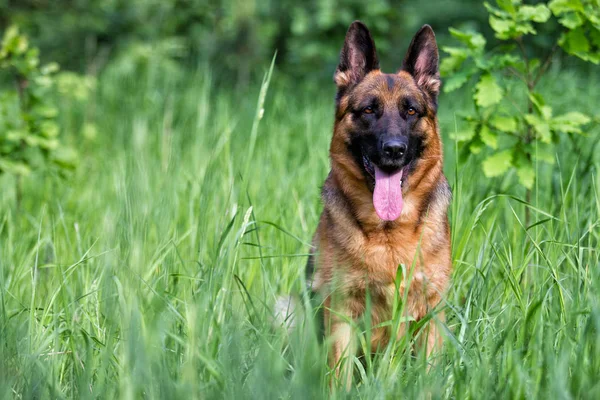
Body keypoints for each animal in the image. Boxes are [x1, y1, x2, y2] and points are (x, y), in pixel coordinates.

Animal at [308, 21, 452, 384]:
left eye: (411, 111)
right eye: (369, 110)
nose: (394, 150)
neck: (389, 232)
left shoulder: (429, 314)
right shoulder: (342, 312)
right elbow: (339, 377)